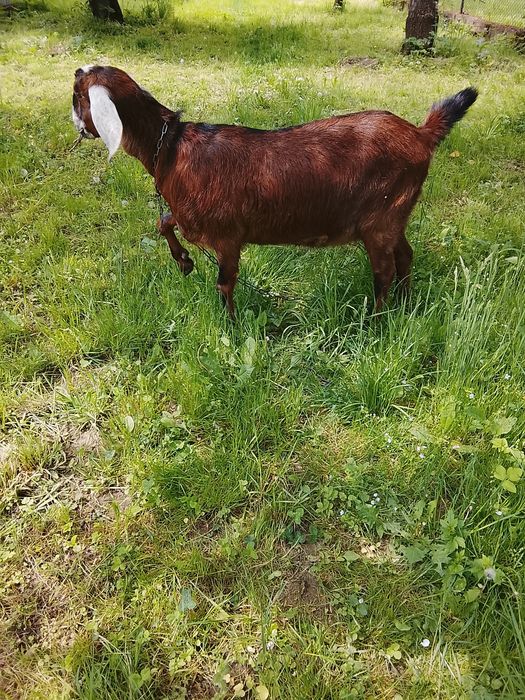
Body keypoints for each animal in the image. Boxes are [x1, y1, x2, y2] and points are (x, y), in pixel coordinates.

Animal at [72, 65, 477, 316]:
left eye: (78, 96)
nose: (75, 122)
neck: (169, 149)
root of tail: (421, 134)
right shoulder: (193, 219)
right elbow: (164, 223)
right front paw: (184, 262)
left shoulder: (228, 235)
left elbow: (224, 283)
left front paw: (230, 328)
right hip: (395, 216)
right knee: (405, 256)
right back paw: (406, 304)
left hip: (380, 220)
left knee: (385, 271)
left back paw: (377, 322)